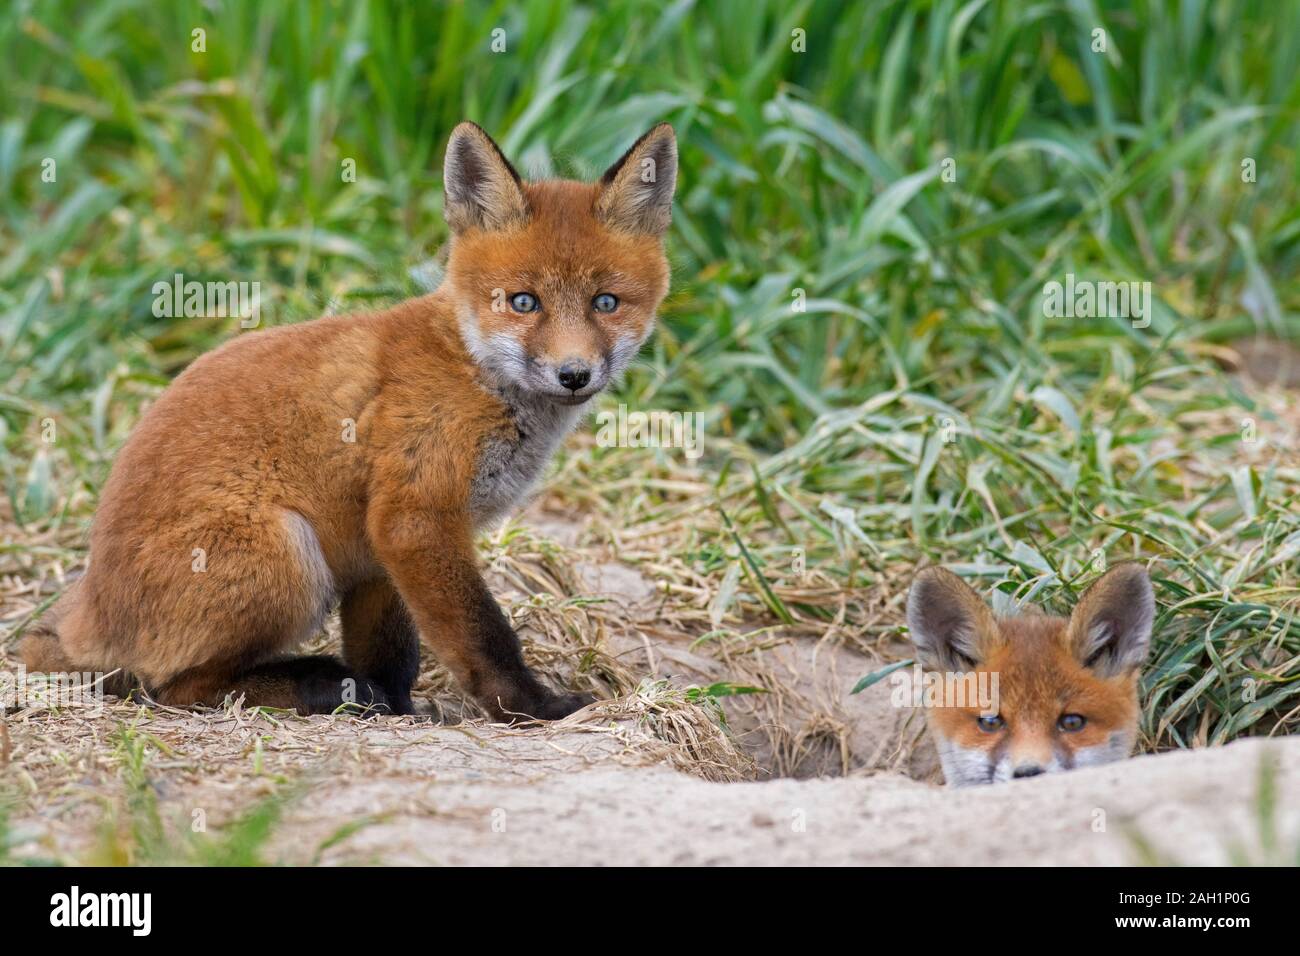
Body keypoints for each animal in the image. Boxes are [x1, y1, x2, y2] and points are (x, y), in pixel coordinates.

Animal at [20, 121, 678, 721]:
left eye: (605, 303)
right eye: (523, 303)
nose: (574, 374)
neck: (473, 371)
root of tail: (92, 605)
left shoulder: (381, 542)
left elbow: (390, 650)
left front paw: (395, 706)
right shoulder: (416, 517)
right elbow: (486, 638)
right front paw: (532, 708)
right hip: (287, 557)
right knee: (173, 690)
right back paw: (307, 686)